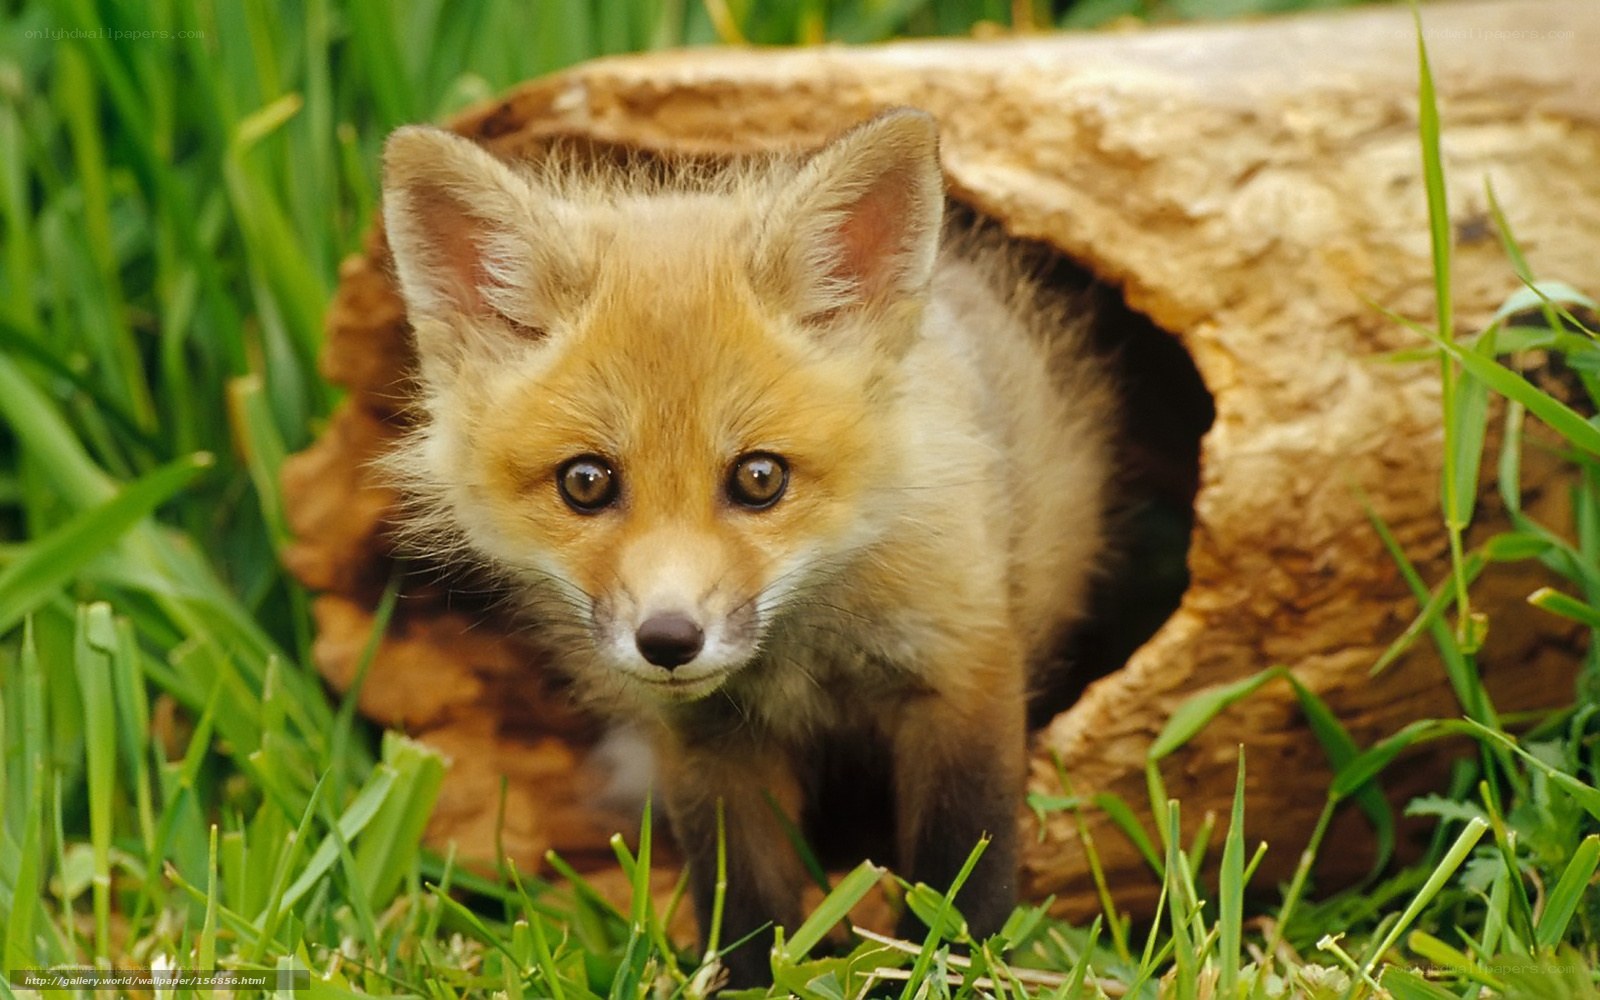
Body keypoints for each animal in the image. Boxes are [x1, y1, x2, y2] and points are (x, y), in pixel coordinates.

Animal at [379, 109, 1114, 987]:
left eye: (760, 478)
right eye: (586, 482)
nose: (668, 640)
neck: (803, 655)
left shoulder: (962, 670)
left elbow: (959, 874)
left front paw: (947, 966)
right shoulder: (709, 744)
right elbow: (747, 902)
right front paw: (752, 977)